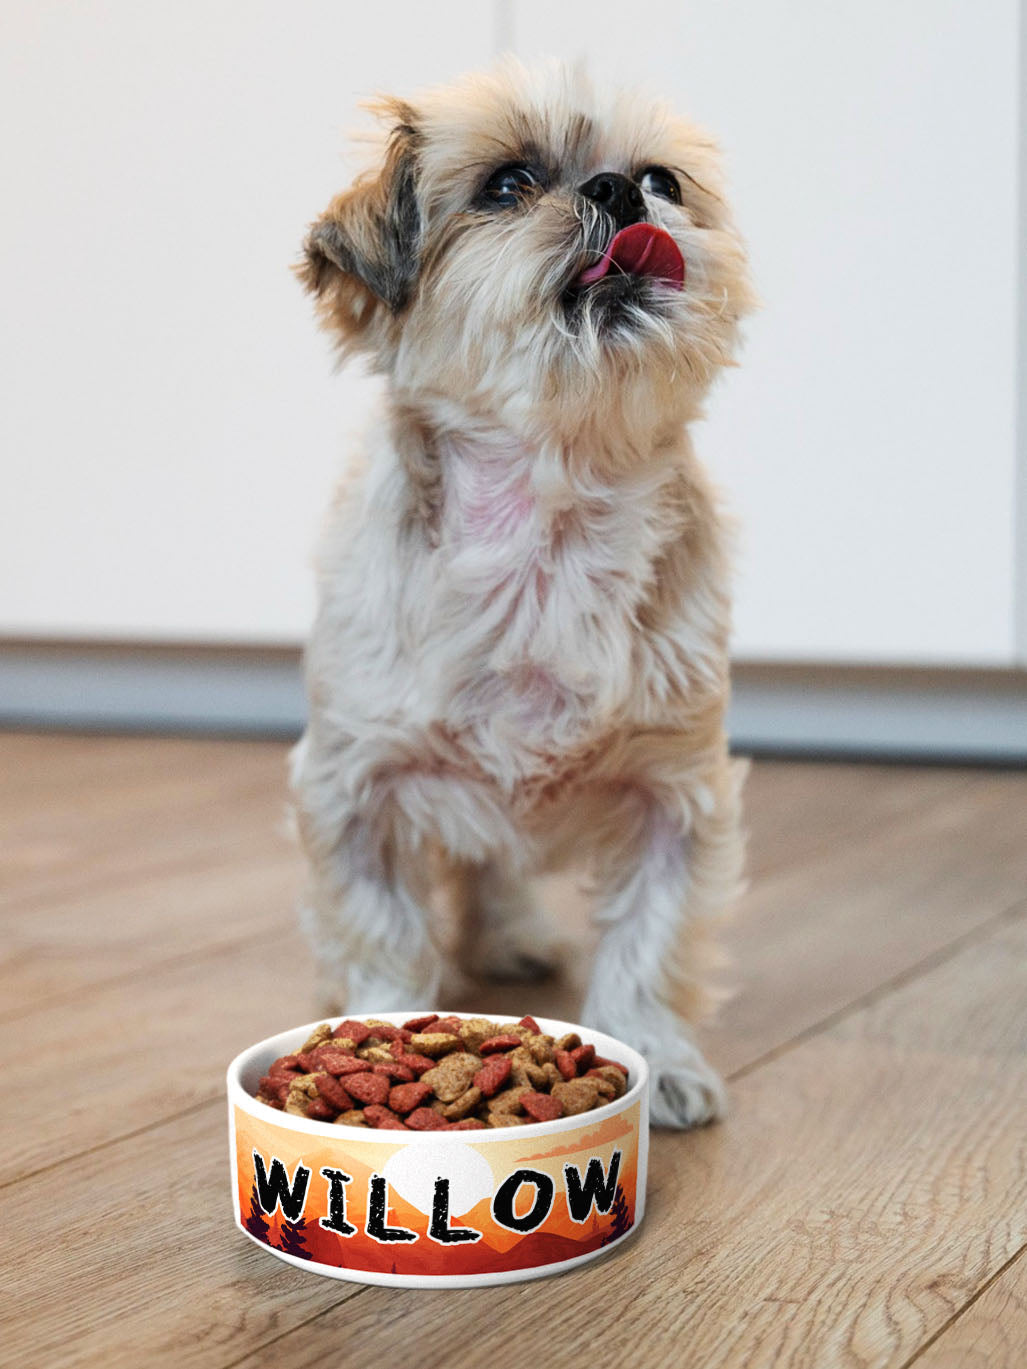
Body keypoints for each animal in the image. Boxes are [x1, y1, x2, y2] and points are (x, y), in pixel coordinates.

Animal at [290, 58, 755, 1128]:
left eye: (663, 179)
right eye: (507, 184)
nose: (619, 192)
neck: (546, 536)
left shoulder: (675, 794)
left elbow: (649, 946)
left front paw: (659, 1060)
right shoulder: (355, 786)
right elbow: (383, 929)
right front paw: (374, 1028)